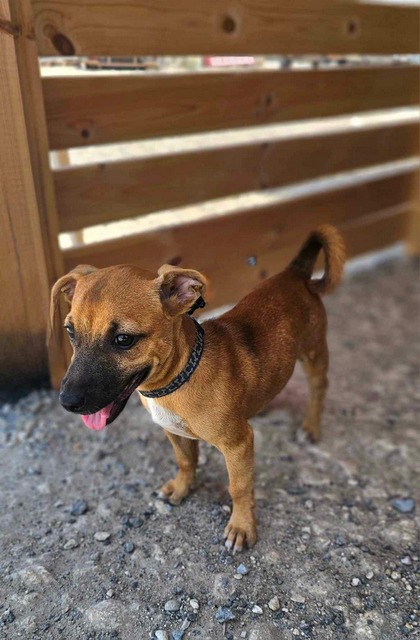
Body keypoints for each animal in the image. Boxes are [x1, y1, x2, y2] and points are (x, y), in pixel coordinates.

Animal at [50, 225, 345, 552]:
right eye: (70, 332)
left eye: (124, 340)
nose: (67, 402)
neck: (180, 378)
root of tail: (296, 273)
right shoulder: (173, 431)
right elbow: (186, 461)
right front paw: (182, 488)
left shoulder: (238, 445)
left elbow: (239, 487)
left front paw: (242, 527)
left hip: (315, 354)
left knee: (319, 389)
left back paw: (311, 427)